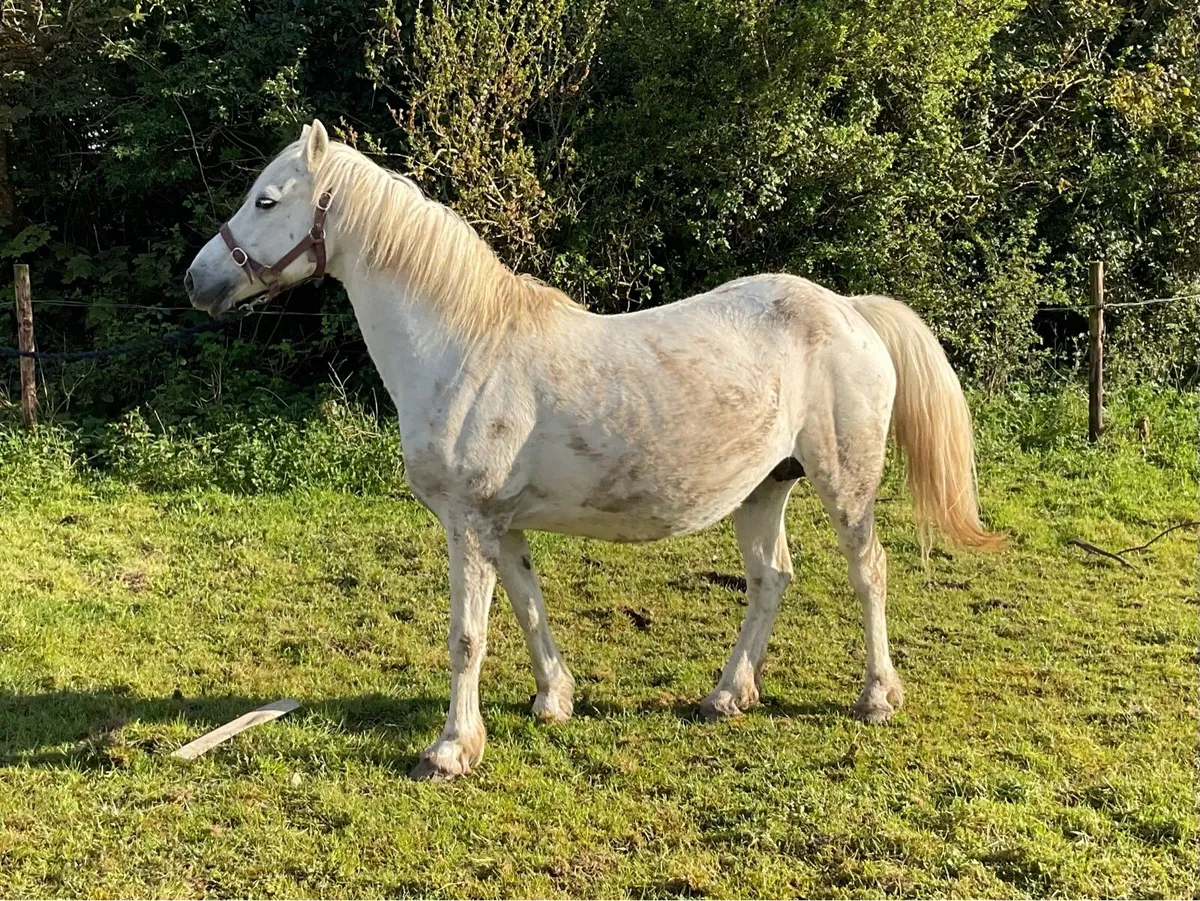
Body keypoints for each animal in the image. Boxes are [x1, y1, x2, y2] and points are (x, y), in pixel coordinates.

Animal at [185, 120, 1001, 781]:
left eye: (267, 201)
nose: (197, 280)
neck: (465, 347)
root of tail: (848, 310)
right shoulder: (501, 526)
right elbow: (528, 606)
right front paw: (554, 699)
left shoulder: (468, 524)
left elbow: (467, 636)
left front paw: (450, 749)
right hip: (765, 487)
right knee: (770, 580)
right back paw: (725, 695)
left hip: (844, 483)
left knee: (869, 573)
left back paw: (876, 697)